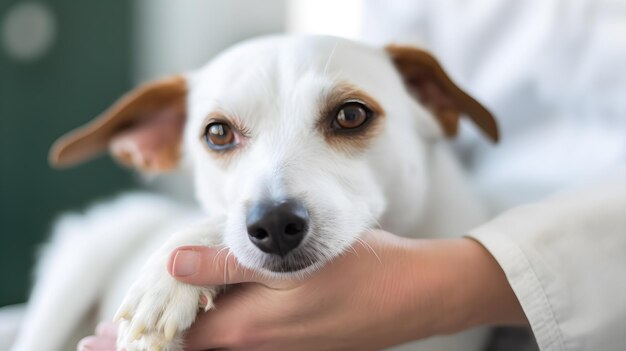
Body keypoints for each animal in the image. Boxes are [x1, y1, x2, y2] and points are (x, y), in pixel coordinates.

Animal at [7, 35, 498, 351]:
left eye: (351, 115)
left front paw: (170, 277)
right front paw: (168, 280)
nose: (274, 224)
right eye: (218, 133)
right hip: (74, 275)